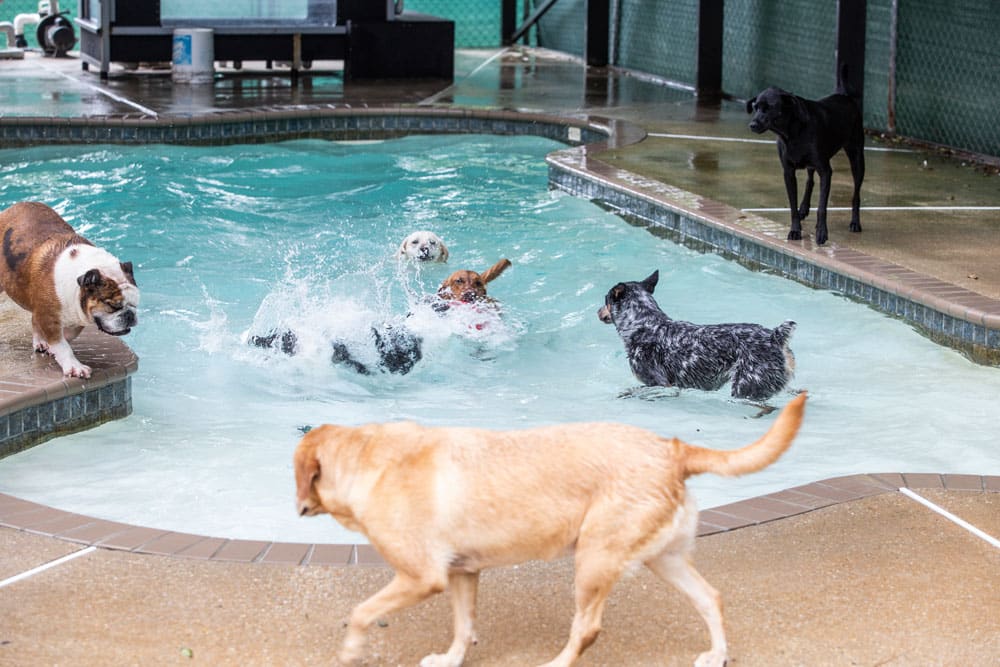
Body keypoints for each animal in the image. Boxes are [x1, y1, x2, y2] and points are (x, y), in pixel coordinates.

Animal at [592, 270, 796, 402]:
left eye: (605, 300)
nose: (597, 311)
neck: (644, 324)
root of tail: (775, 337)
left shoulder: (660, 384)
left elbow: (634, 391)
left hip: (746, 387)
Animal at [748, 68, 864, 245]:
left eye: (769, 107)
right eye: (755, 107)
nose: (752, 125)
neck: (792, 132)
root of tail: (844, 96)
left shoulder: (826, 171)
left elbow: (822, 207)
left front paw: (821, 232)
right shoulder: (788, 173)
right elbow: (793, 206)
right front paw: (795, 230)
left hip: (857, 159)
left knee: (856, 194)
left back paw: (855, 222)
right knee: (810, 180)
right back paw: (804, 207)